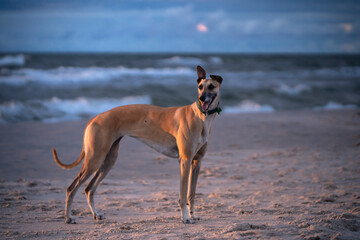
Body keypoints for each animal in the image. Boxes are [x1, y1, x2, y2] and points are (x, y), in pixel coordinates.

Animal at [52, 64, 222, 224]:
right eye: (200, 87)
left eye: (211, 86)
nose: (202, 98)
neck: (200, 116)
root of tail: (93, 119)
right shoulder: (185, 160)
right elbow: (183, 195)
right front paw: (186, 218)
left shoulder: (197, 161)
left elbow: (191, 193)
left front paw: (193, 215)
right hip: (95, 159)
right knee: (72, 188)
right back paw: (68, 218)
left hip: (108, 160)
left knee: (89, 189)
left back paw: (96, 214)